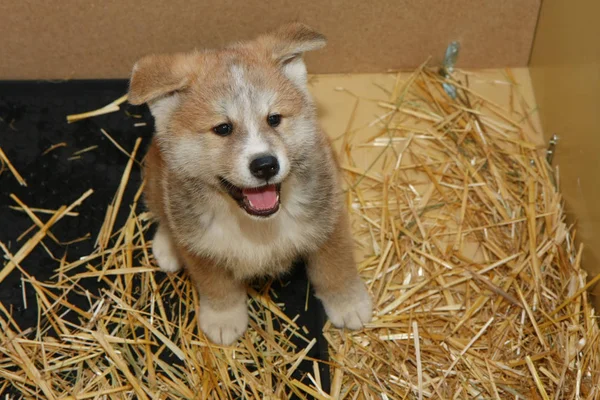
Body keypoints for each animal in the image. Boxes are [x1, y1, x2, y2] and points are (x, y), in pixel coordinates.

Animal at [127, 23, 370, 346]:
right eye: (223, 128)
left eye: (274, 119)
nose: (265, 164)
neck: (256, 228)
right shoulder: (203, 249)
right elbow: (217, 285)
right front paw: (223, 318)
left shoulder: (328, 218)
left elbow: (336, 266)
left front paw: (349, 303)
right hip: (156, 177)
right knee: (163, 213)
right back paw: (167, 246)